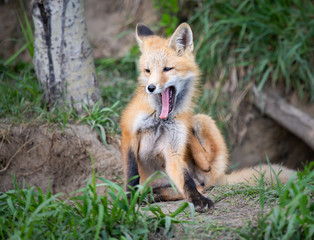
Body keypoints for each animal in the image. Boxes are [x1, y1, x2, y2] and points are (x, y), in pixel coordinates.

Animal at [119, 22, 294, 212]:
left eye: (167, 69)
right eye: (147, 71)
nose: (150, 88)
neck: (159, 119)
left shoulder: (173, 150)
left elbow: (187, 182)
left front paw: (197, 199)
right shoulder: (130, 135)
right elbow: (131, 175)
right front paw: (128, 200)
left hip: (203, 121)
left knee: (203, 174)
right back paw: (149, 196)